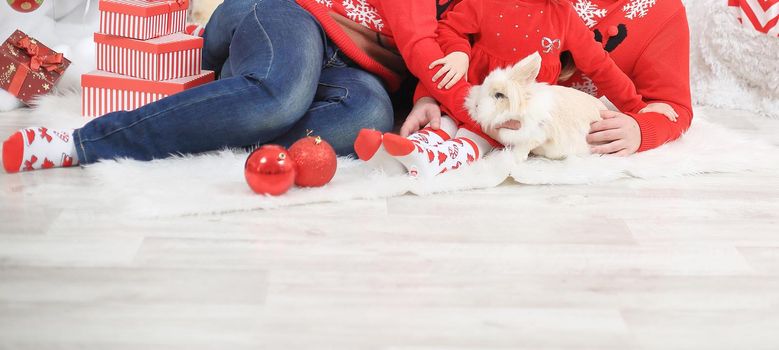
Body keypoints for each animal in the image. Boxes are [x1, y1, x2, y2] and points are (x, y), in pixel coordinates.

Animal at [466, 52, 608, 162]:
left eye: (499, 95)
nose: (476, 106)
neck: (524, 106)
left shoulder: (536, 134)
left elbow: (523, 148)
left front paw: (514, 159)